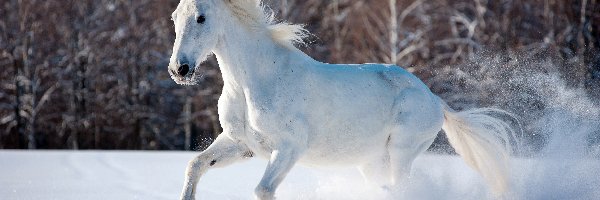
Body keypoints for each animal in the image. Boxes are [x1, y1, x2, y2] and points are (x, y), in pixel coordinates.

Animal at [168, 0, 516, 198]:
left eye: (201, 17)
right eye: (174, 17)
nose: (179, 69)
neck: (255, 81)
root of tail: (434, 100)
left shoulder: (290, 147)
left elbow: (263, 189)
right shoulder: (242, 145)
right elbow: (195, 166)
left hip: (402, 153)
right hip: (372, 162)